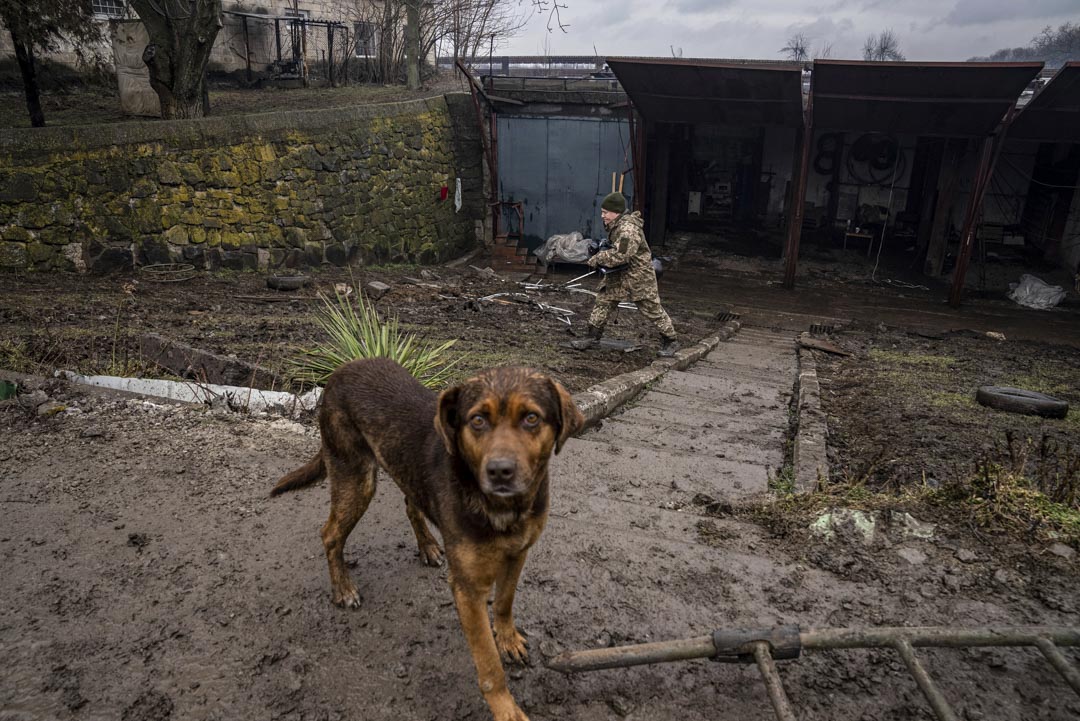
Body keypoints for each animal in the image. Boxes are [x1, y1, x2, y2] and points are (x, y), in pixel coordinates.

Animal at [270, 358, 583, 721]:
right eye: (477, 420)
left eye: (531, 418)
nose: (499, 471)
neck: (504, 508)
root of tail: (341, 370)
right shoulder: (467, 590)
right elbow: (489, 665)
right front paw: (506, 709)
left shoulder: (518, 553)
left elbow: (505, 602)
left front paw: (507, 638)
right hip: (356, 477)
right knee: (330, 533)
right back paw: (343, 588)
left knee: (410, 502)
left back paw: (428, 546)